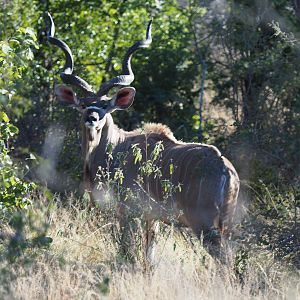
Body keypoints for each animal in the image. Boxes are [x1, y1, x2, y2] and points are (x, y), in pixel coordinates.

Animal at [46, 12, 239, 260]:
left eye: (105, 106)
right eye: (82, 105)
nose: (91, 117)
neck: (117, 147)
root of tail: (228, 171)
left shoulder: (127, 210)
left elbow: (127, 249)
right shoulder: (151, 218)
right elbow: (149, 256)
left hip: (204, 225)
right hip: (226, 226)